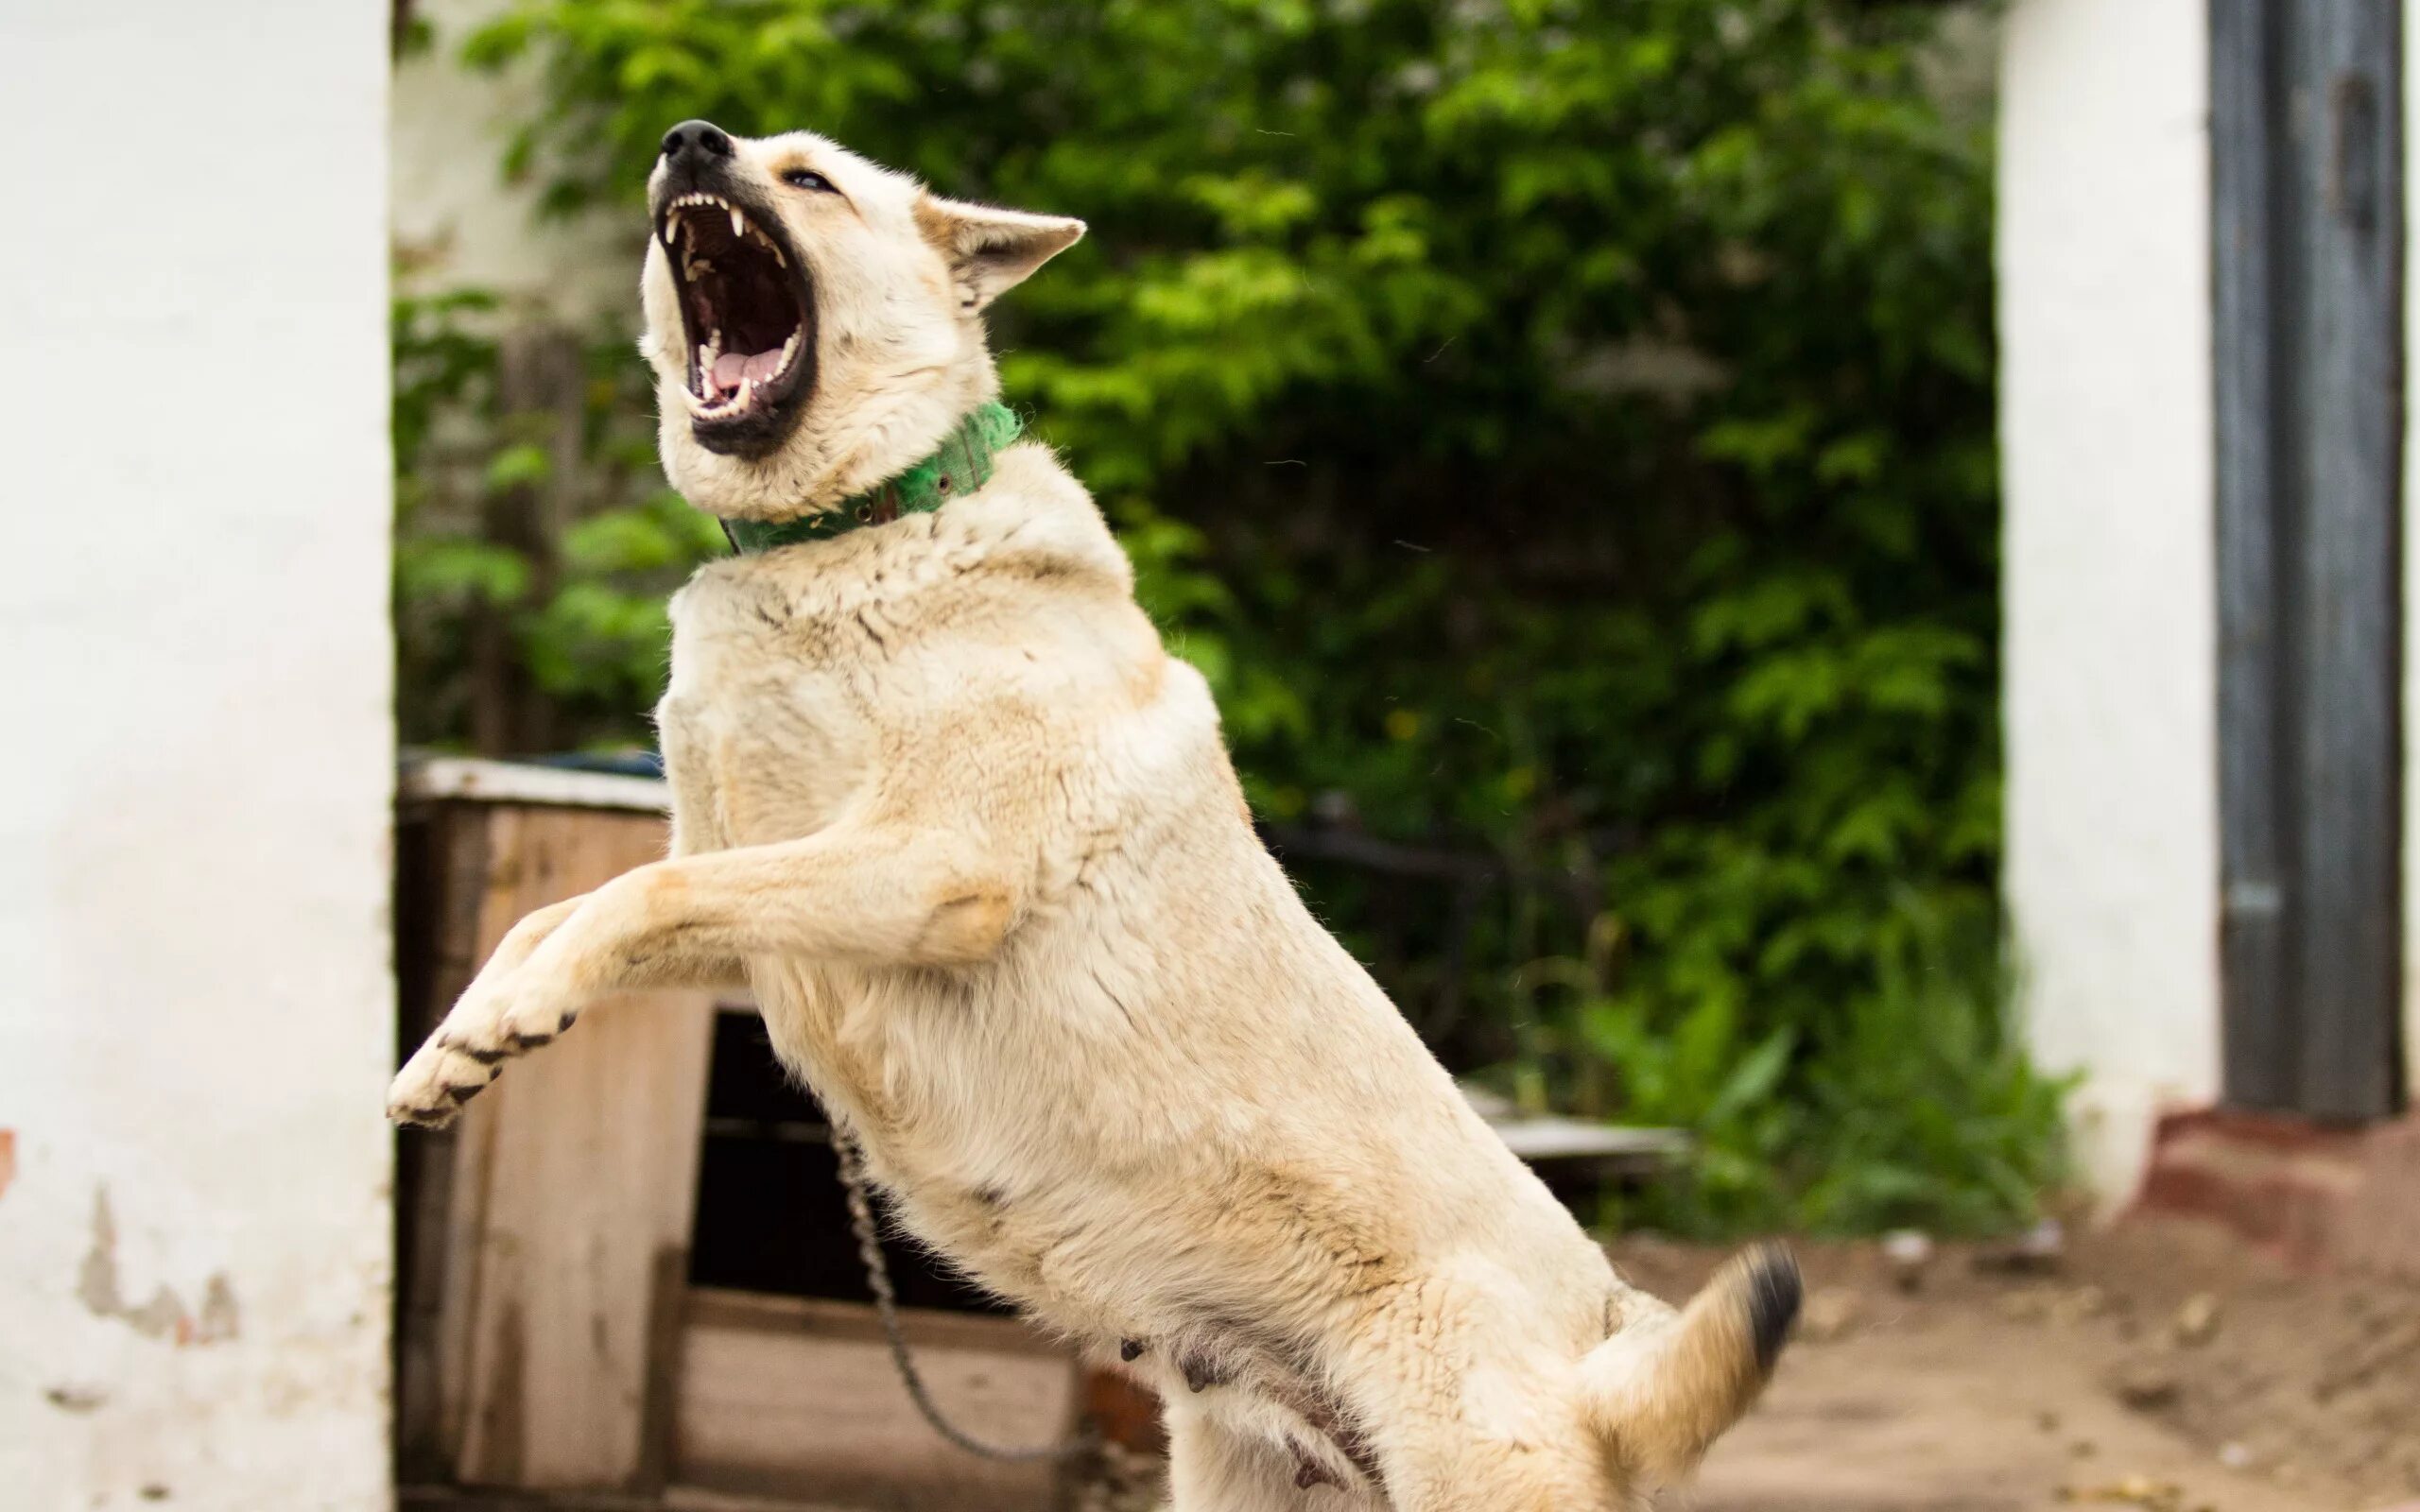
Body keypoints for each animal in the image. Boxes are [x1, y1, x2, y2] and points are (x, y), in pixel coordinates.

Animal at [391, 121, 1800, 1509]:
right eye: (718, 148)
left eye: (809, 179)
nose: (689, 142)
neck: (848, 534)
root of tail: (1608, 1326)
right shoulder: (758, 893)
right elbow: (560, 914)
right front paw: (460, 1045)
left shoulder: (924, 868)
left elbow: (635, 892)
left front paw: (506, 1019)